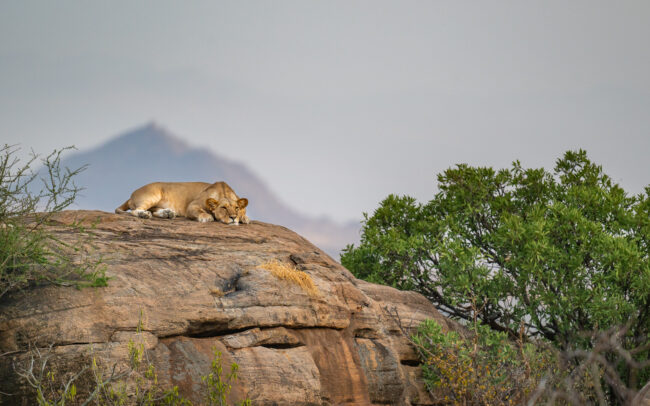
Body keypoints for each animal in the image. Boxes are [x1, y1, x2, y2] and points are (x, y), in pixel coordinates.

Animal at [115, 181, 250, 224]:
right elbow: (199, 211)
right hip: (153, 195)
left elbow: (244, 211)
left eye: (236, 208)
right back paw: (144, 214)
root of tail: (131, 195)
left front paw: (244, 218)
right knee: (135, 211)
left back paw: (167, 213)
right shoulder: (192, 205)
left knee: (153, 210)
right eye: (223, 208)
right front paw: (206, 217)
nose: (233, 217)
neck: (223, 191)